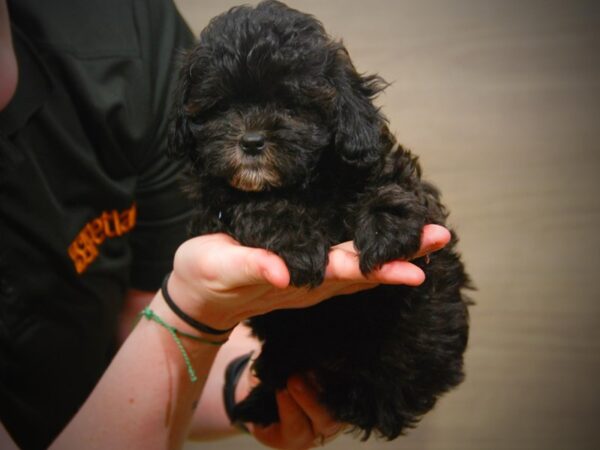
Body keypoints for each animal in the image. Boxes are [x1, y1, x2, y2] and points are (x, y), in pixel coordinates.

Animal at [168, 0, 468, 440]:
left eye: (291, 105)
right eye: (221, 107)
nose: (251, 142)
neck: (301, 183)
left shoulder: (371, 157)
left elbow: (390, 184)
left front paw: (386, 231)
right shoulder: (213, 207)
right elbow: (254, 205)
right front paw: (296, 243)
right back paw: (261, 402)